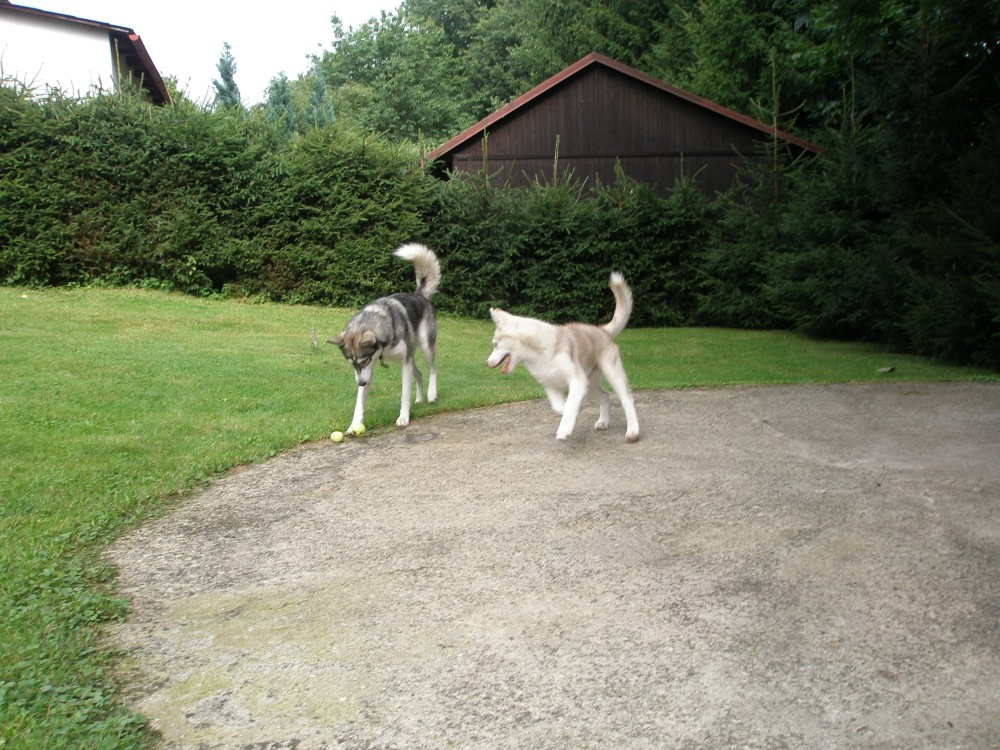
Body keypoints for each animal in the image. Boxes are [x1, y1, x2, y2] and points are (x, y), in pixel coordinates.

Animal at [329, 243, 440, 435]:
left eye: (364, 360)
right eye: (352, 364)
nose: (360, 383)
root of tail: (418, 295)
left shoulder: (400, 362)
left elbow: (405, 394)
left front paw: (403, 418)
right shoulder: (371, 371)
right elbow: (359, 404)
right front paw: (353, 425)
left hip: (425, 346)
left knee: (432, 370)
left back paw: (431, 394)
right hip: (410, 357)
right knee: (418, 374)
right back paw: (419, 399)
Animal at [486, 272, 640, 443]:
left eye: (495, 344)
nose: (487, 363)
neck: (538, 351)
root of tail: (602, 330)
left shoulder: (577, 380)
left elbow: (570, 405)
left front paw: (565, 429)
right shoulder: (550, 385)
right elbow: (560, 407)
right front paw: (573, 412)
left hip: (612, 374)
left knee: (627, 399)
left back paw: (633, 431)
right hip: (590, 382)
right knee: (604, 395)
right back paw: (603, 422)